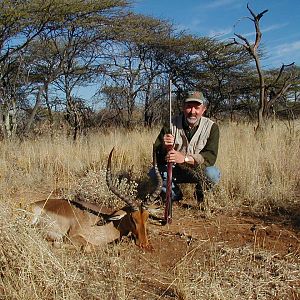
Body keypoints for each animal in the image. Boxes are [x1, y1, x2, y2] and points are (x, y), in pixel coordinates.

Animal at [30, 148, 162, 251]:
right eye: (132, 218)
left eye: (147, 217)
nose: (144, 244)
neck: (110, 222)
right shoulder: (73, 236)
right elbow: (88, 246)